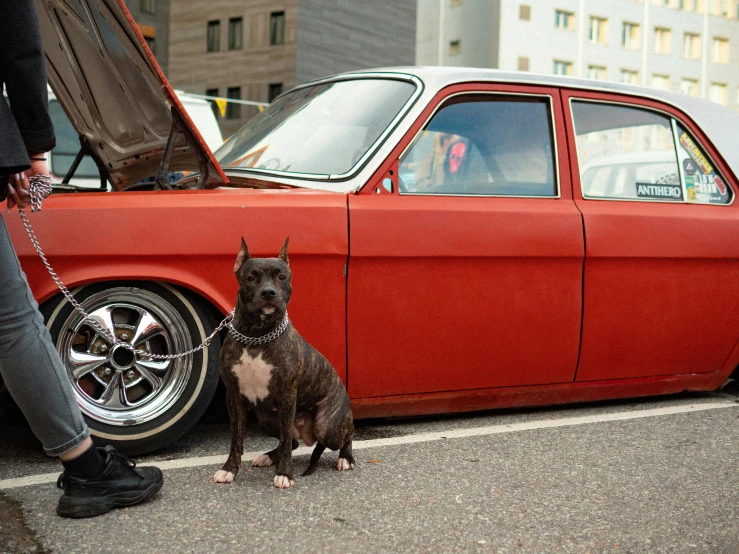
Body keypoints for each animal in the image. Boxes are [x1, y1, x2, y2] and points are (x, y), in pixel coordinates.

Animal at [214, 235, 356, 486]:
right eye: (251, 277)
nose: (269, 292)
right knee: (291, 441)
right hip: (266, 419)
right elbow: (236, 440)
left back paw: (345, 458)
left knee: (347, 434)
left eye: (281, 277)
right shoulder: (234, 397)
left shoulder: (287, 395)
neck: (257, 336)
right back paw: (269, 456)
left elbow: (286, 443)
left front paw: (284, 473)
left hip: (327, 426)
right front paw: (229, 470)